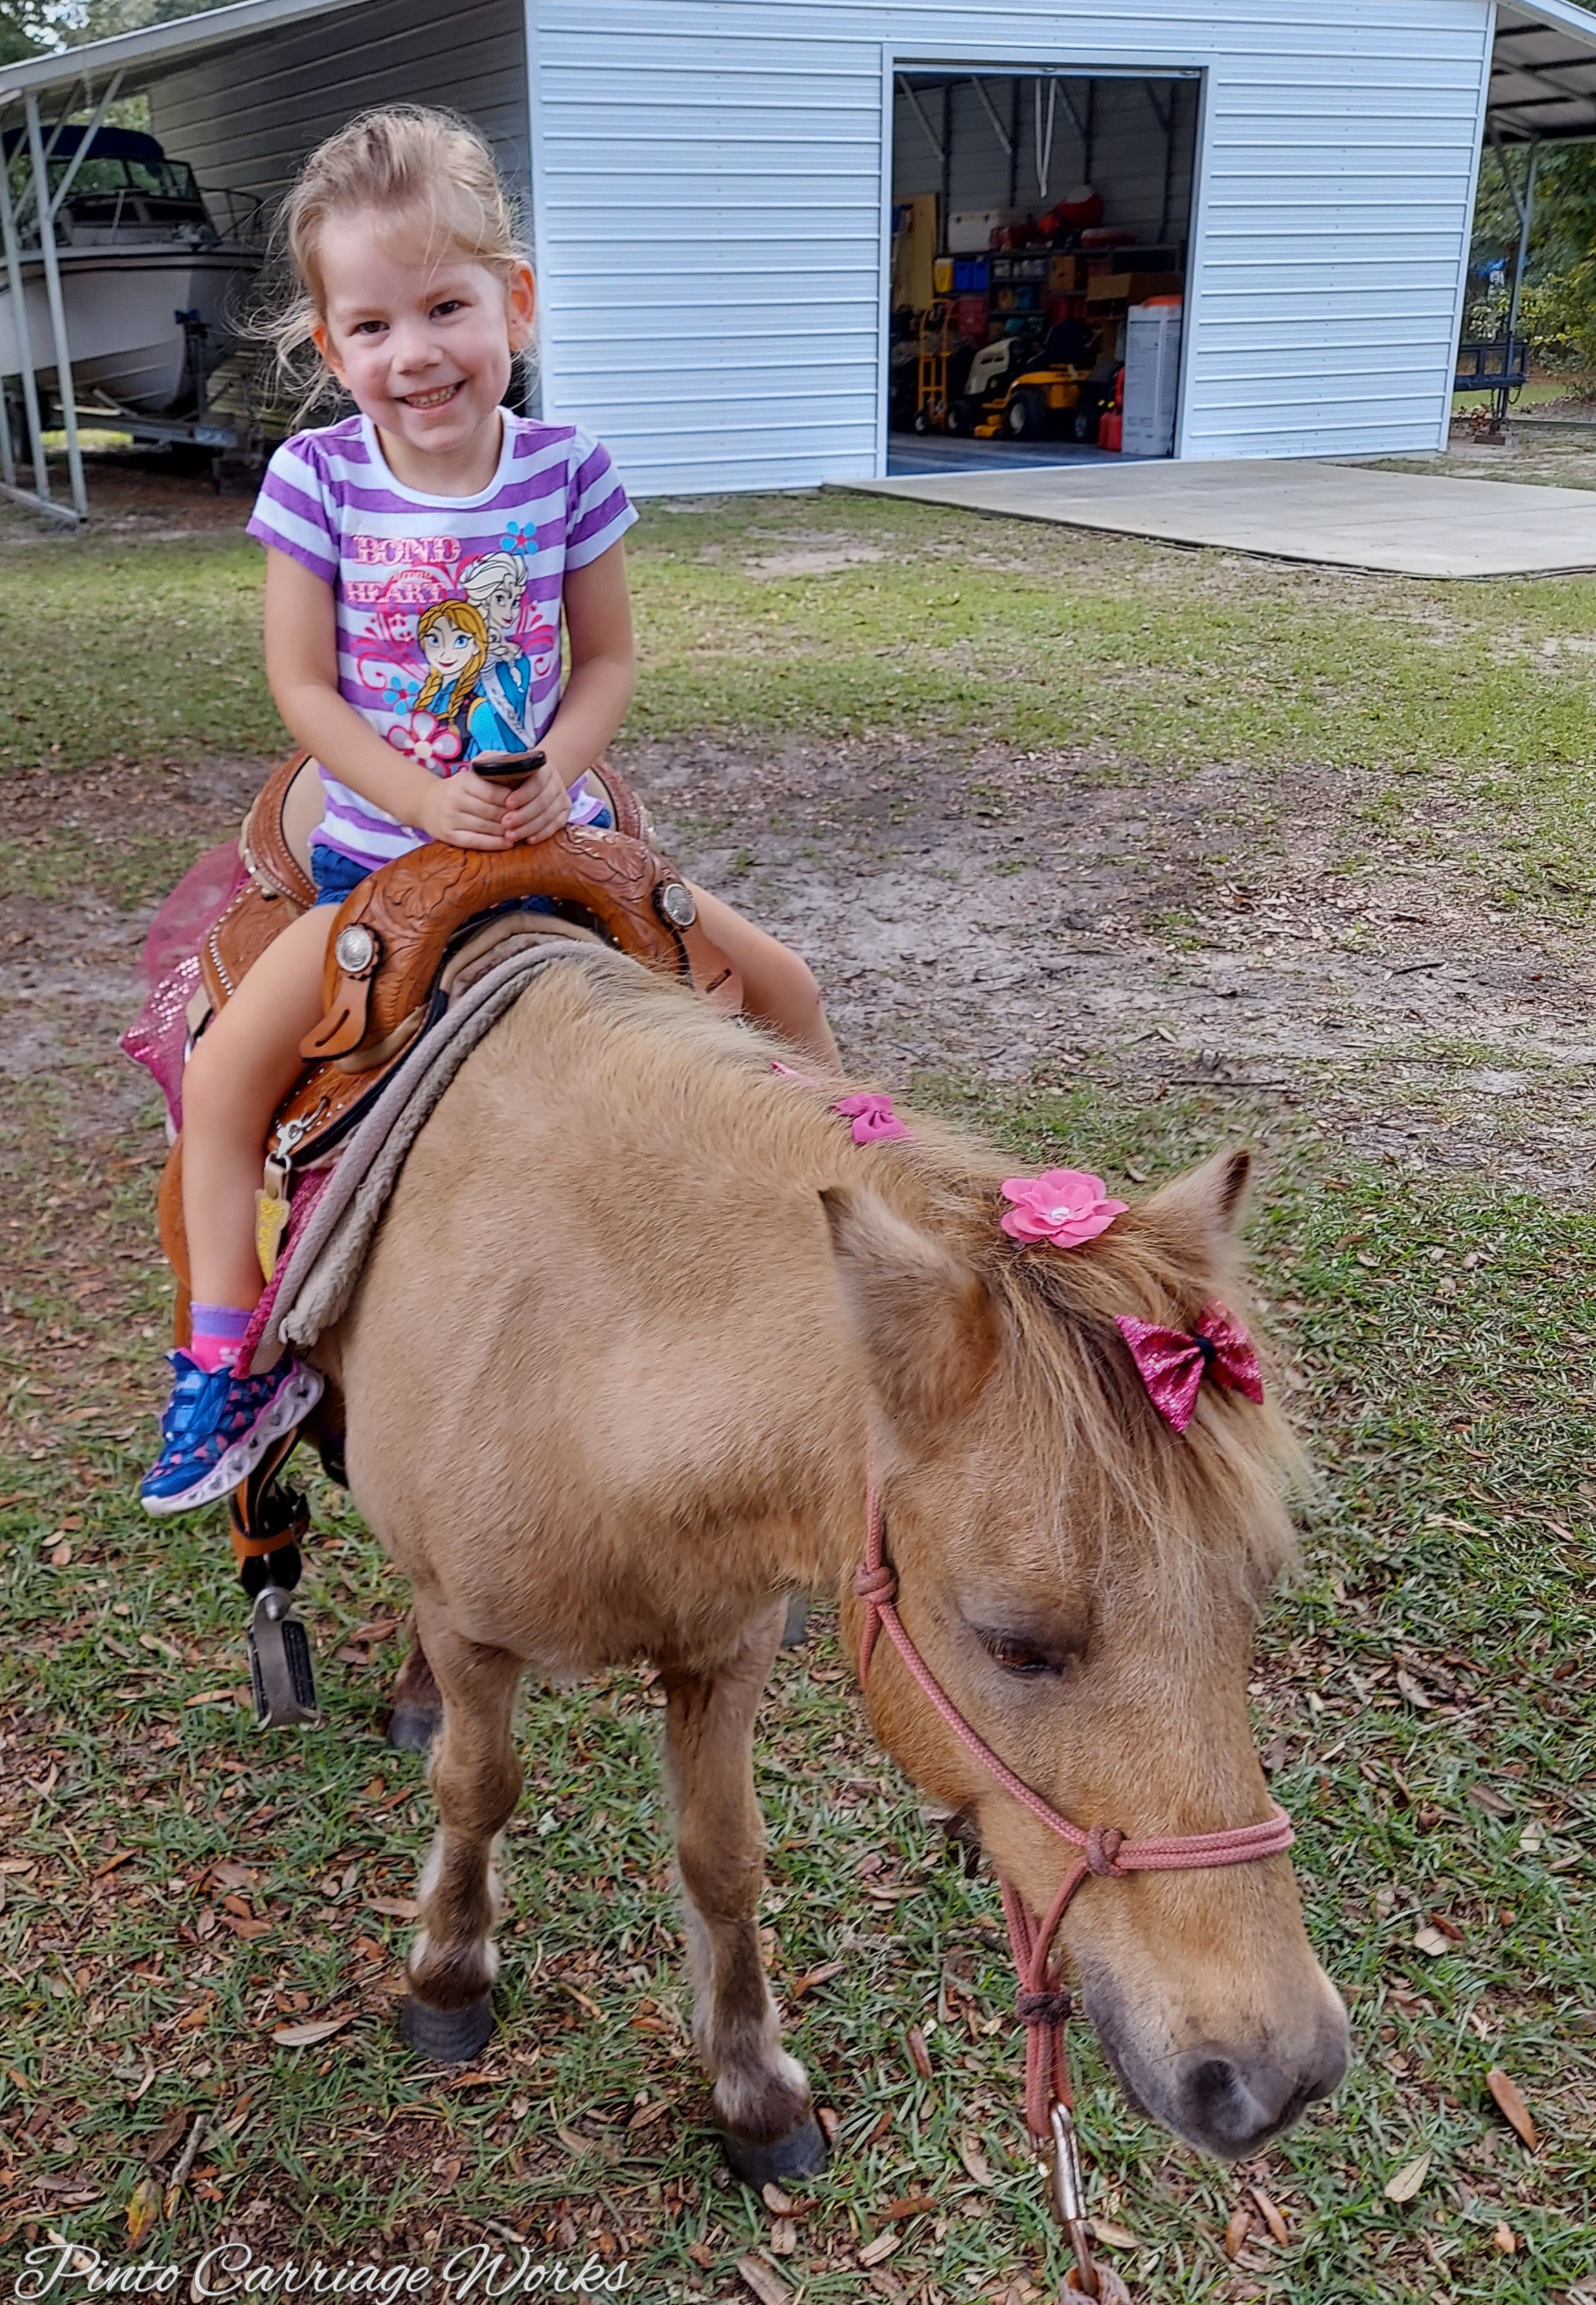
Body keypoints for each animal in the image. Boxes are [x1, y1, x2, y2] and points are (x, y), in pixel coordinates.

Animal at [325, 949, 1347, 2194]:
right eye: (1017, 1645)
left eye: (1249, 1605)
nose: (1281, 2075)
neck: (572, 1347)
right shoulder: (474, 1633)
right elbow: (476, 1790)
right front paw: (448, 1980)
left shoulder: (725, 1649)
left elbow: (722, 1859)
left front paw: (754, 2091)